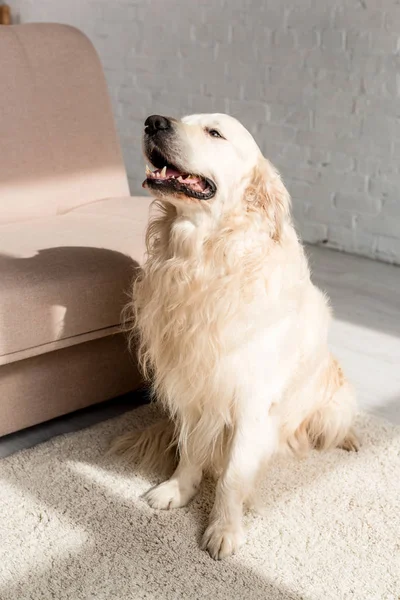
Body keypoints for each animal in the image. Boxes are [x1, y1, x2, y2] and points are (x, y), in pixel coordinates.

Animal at [115, 113, 360, 564]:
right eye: (180, 118)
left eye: (215, 133)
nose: (153, 122)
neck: (204, 260)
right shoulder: (194, 387)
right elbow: (191, 449)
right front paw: (178, 489)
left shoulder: (251, 399)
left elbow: (231, 475)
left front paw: (224, 529)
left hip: (333, 400)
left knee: (333, 420)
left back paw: (348, 437)